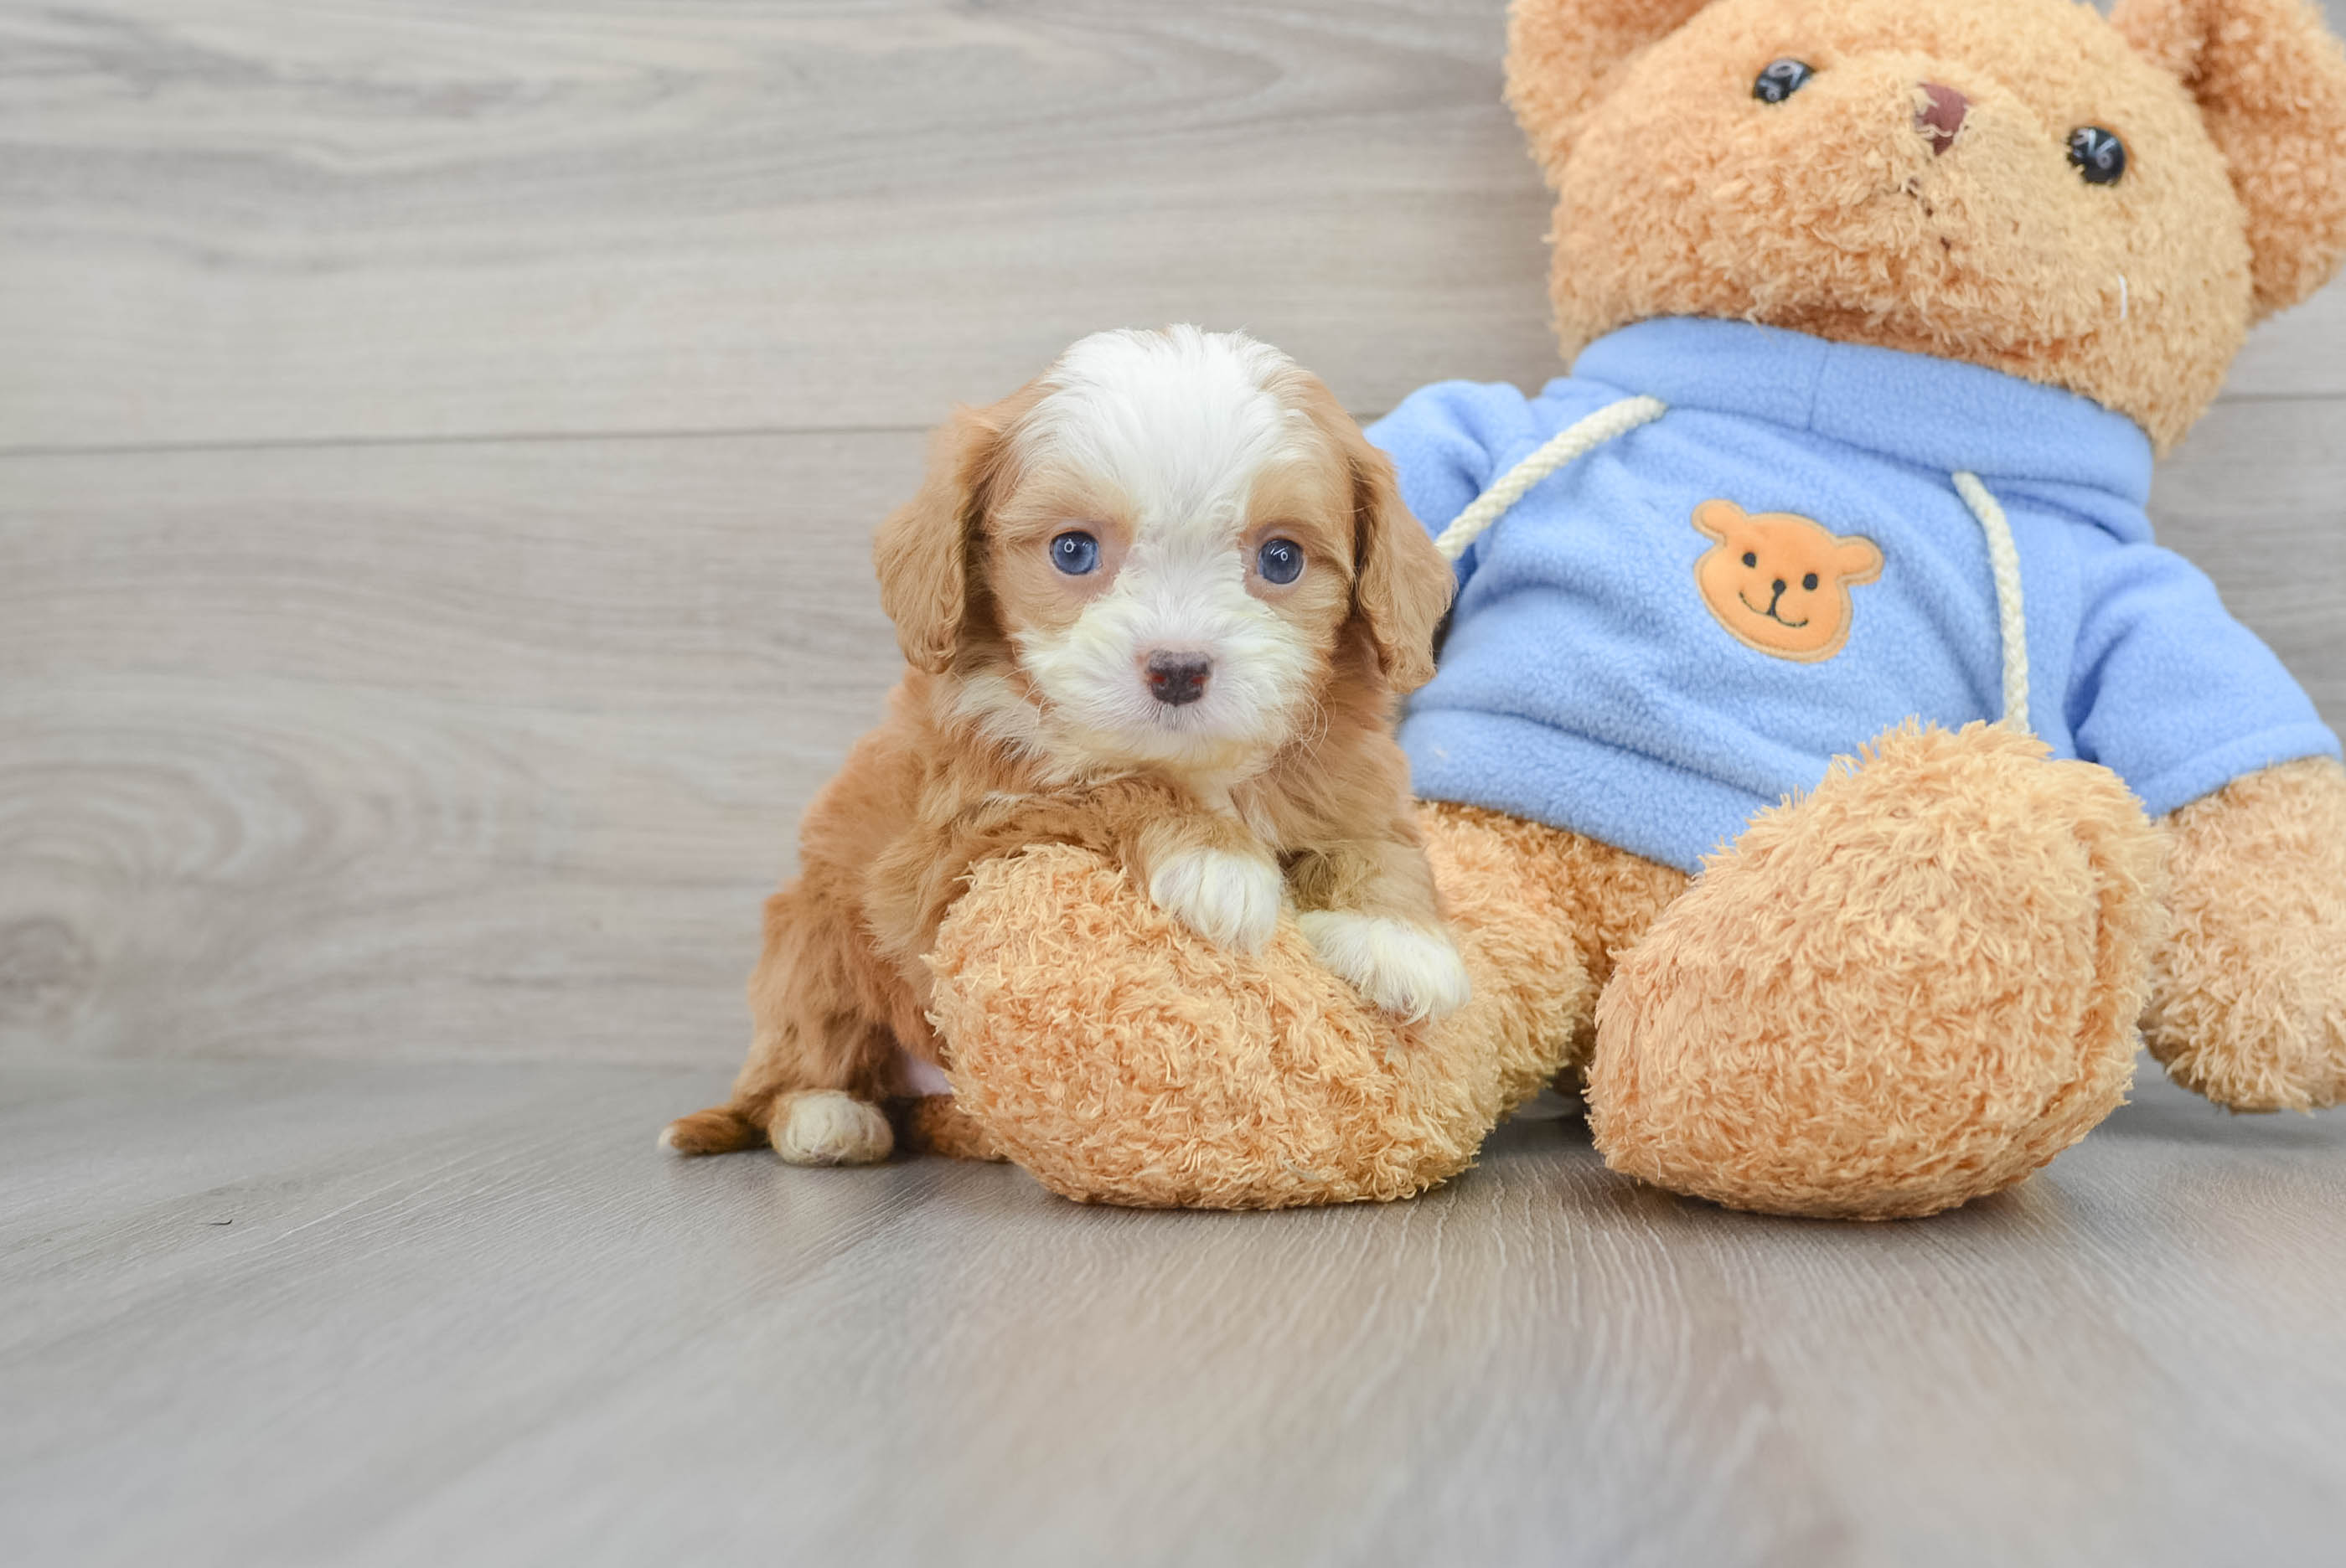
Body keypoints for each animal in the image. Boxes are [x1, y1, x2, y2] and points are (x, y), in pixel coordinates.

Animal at [666, 328, 1464, 1162]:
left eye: (1282, 558)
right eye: (1074, 551)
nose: (1178, 669)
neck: (1196, 765)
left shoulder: (1349, 769)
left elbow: (1378, 836)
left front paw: (1399, 936)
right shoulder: (946, 846)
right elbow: (1095, 787)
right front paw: (1215, 859)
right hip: (813, 943)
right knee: (801, 1057)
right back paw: (826, 1117)